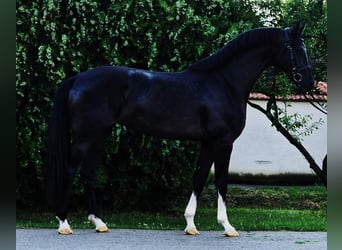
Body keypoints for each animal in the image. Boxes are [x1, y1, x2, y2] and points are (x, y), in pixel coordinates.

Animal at [44, 22, 312, 236]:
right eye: (298, 49)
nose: (308, 83)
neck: (224, 83)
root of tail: (77, 79)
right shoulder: (223, 142)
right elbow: (221, 181)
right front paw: (227, 227)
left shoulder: (208, 142)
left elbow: (199, 178)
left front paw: (190, 224)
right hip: (85, 136)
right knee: (69, 170)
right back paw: (64, 223)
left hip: (99, 135)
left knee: (88, 173)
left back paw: (99, 222)